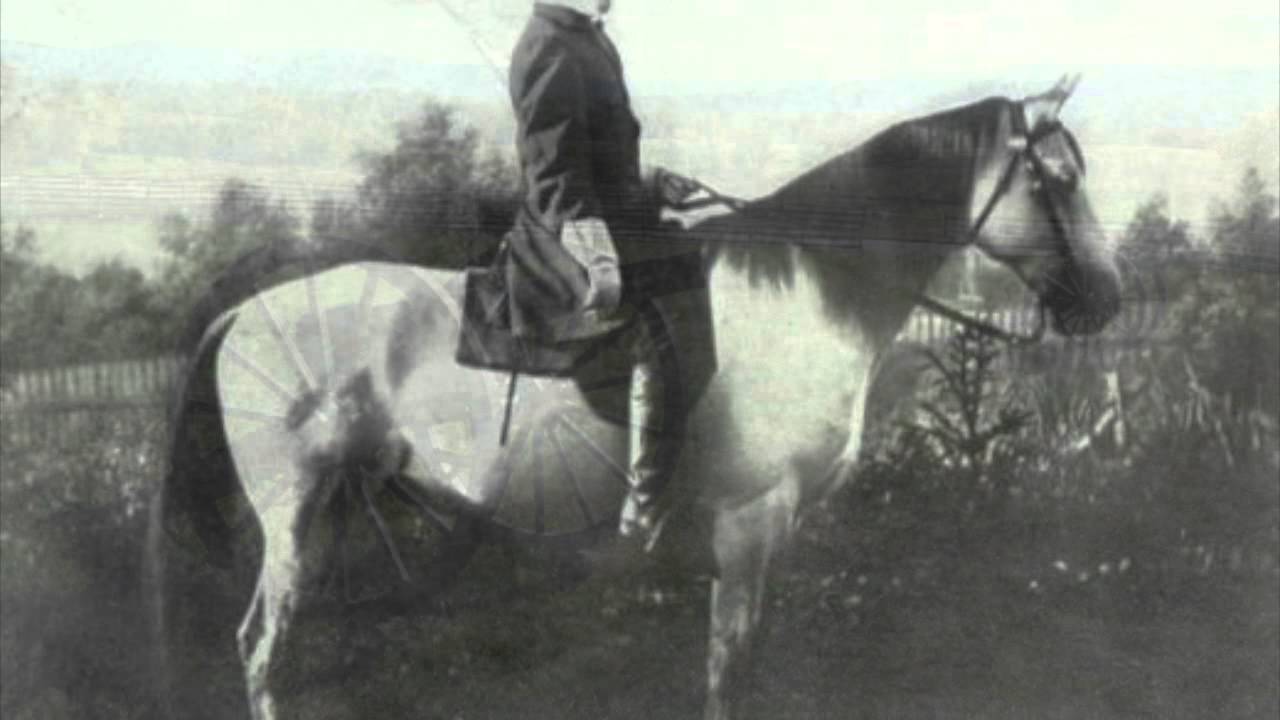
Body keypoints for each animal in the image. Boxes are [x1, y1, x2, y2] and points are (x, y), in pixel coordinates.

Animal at [149, 78, 1121, 720]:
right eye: (1059, 178)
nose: (1105, 300)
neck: (810, 292)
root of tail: (242, 309)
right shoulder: (750, 524)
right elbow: (730, 671)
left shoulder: (774, 533)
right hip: (294, 510)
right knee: (262, 648)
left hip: (336, 507)